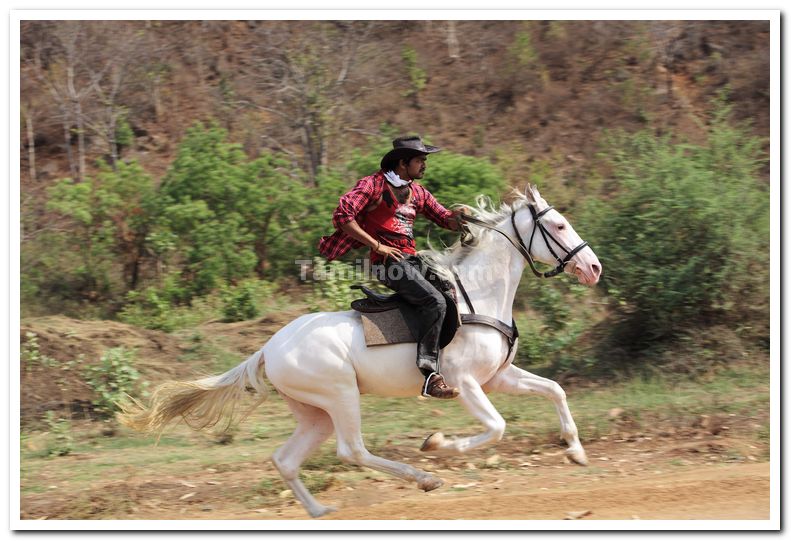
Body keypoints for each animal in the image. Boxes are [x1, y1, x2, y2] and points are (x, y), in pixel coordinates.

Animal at [119, 184, 600, 516]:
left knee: (286, 460)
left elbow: (555, 390)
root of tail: (269, 349)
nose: (593, 267)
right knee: (352, 450)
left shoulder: (498, 377)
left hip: (315, 413)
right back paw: (424, 477)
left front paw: (575, 451)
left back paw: (320, 511)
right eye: (558, 226)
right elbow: (496, 428)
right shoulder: (465, 384)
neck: (477, 296)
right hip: (340, 396)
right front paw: (438, 443)